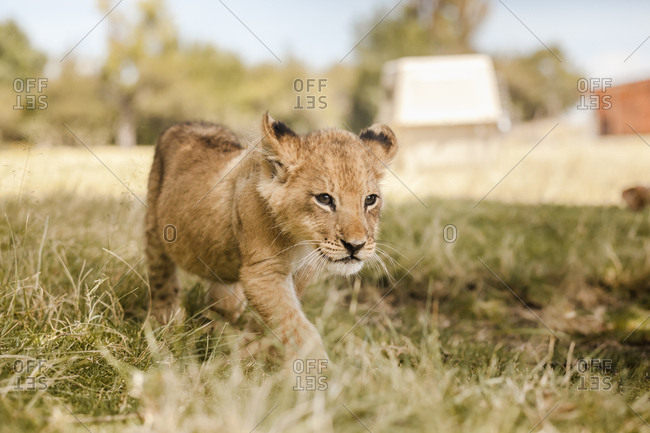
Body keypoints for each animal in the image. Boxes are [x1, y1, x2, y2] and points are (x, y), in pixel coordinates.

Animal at [145, 113, 398, 360]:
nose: (356, 245)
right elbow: (296, 327)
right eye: (324, 199)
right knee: (161, 277)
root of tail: (186, 123)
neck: (302, 242)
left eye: (370, 199)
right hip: (156, 231)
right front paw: (317, 368)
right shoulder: (264, 272)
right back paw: (166, 322)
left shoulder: (301, 272)